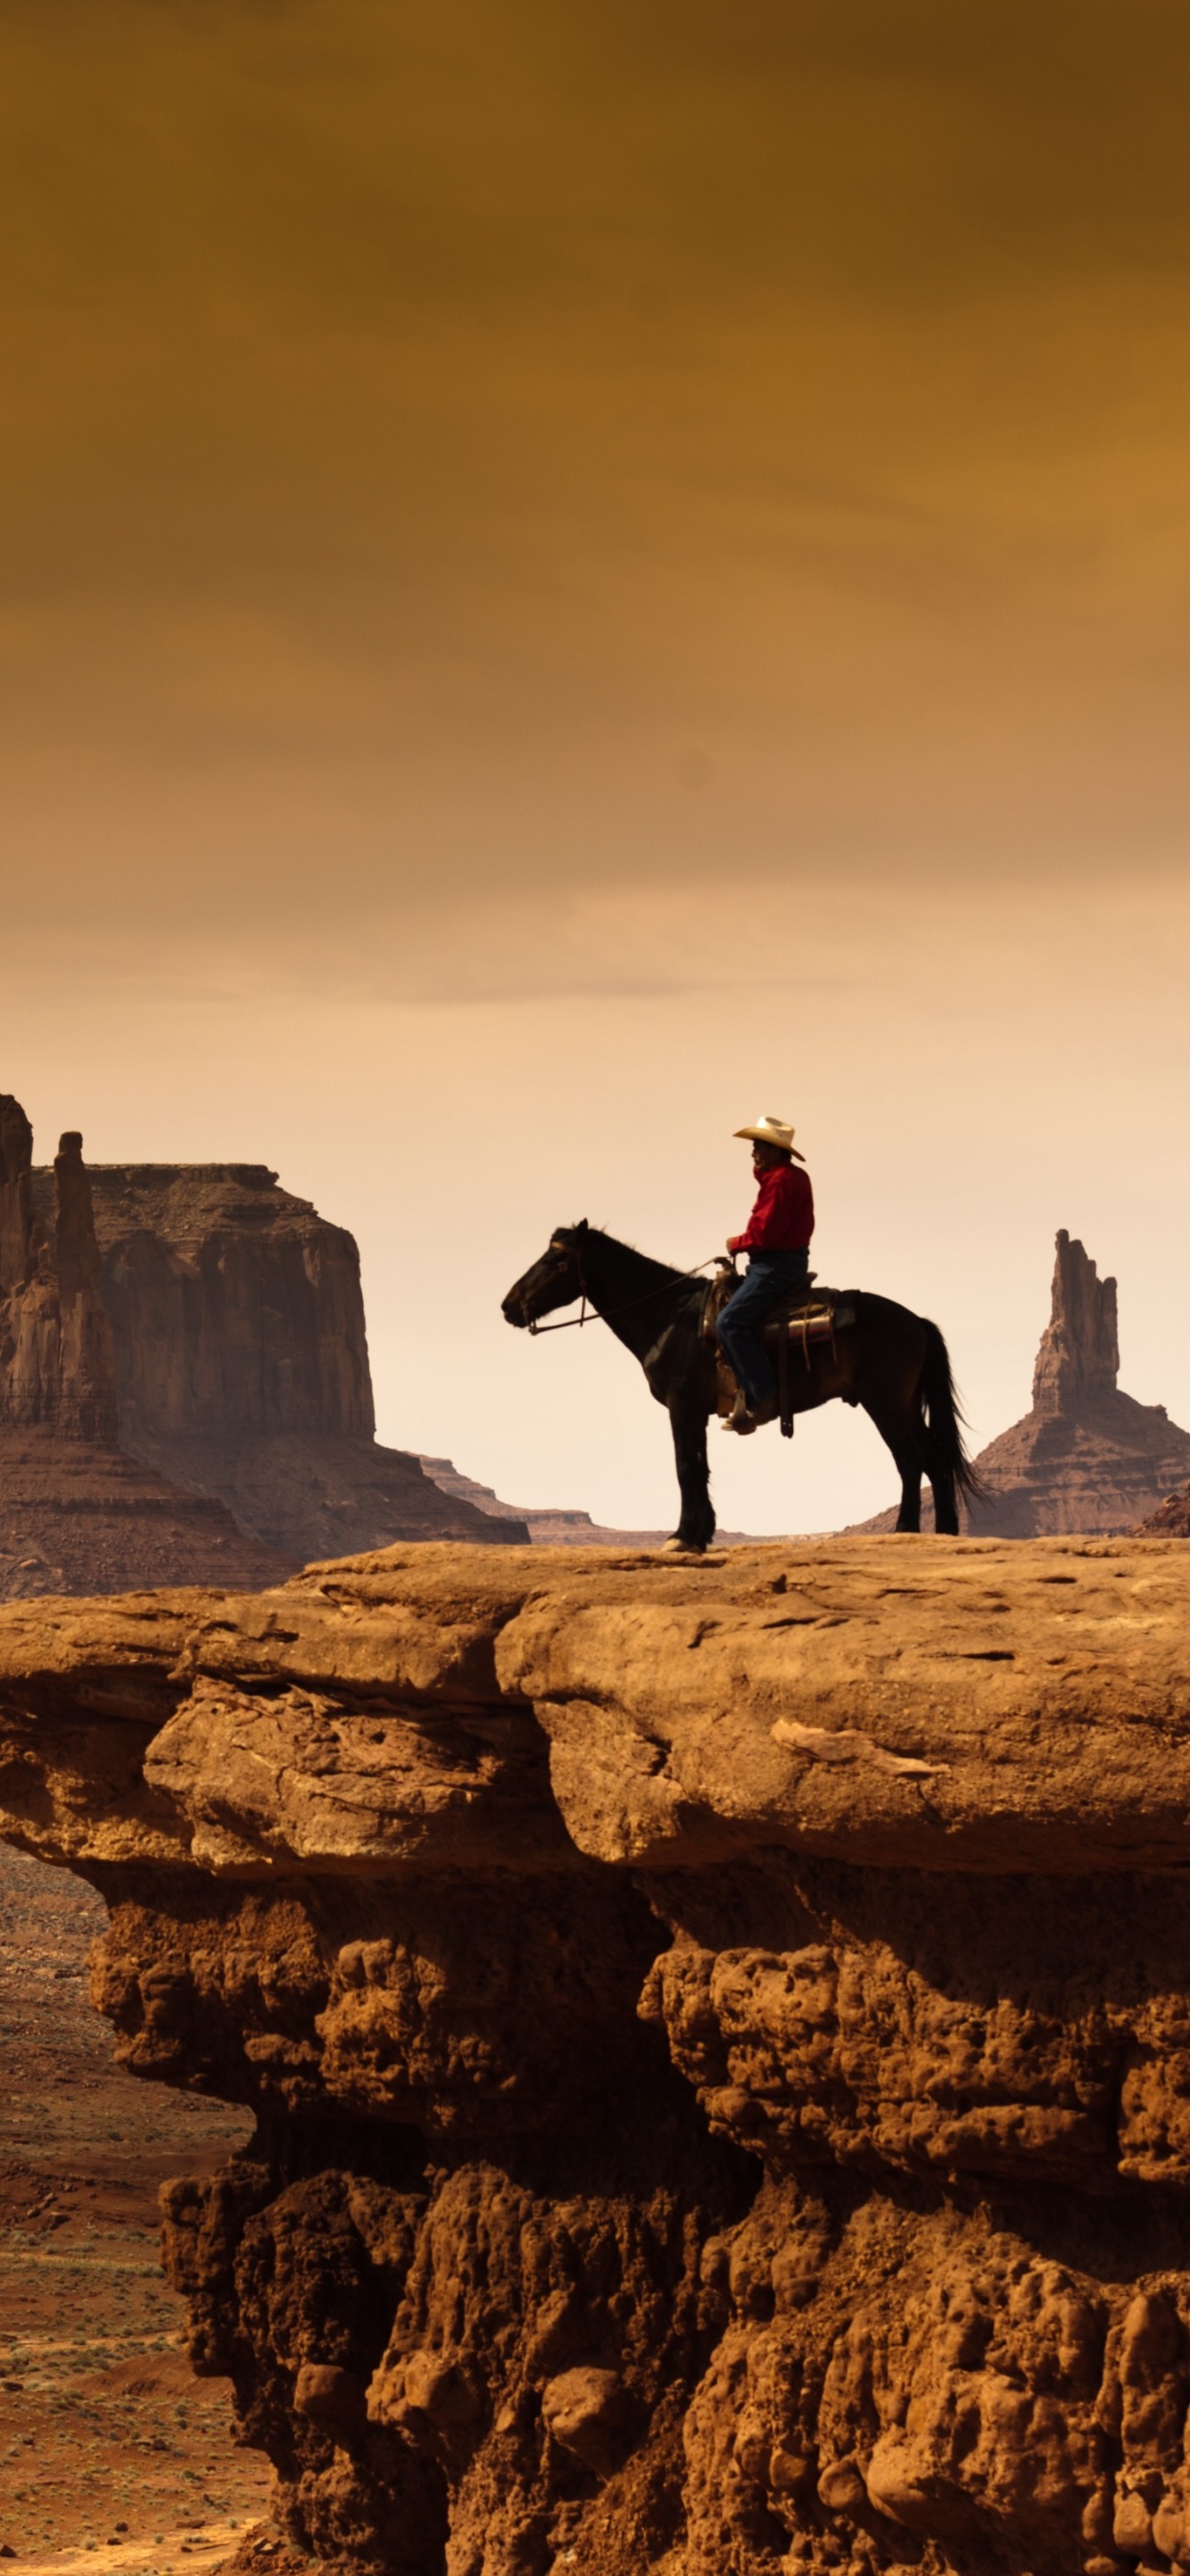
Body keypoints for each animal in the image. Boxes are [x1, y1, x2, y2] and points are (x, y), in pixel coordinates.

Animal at [496, 1221, 978, 1555]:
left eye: (555, 1261)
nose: (508, 1306)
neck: (668, 1317)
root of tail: (915, 1321)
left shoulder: (681, 1405)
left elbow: (685, 1467)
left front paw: (682, 1537)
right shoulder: (697, 1411)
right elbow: (700, 1467)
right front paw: (700, 1534)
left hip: (886, 1404)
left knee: (910, 1459)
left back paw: (905, 1530)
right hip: (906, 1404)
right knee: (935, 1459)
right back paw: (946, 1533)